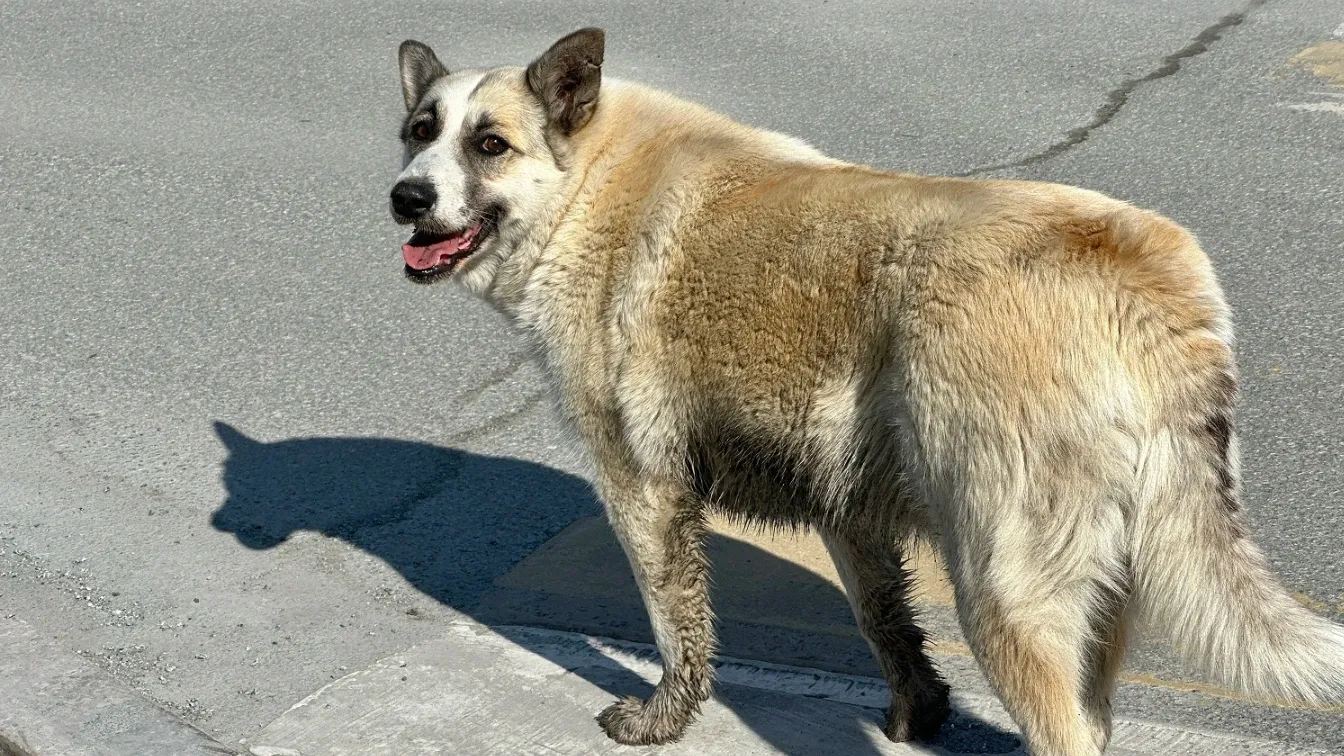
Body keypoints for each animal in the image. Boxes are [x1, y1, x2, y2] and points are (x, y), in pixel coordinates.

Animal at [387, 29, 1344, 753]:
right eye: (419, 129)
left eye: (489, 144)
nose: (405, 197)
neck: (587, 180)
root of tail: (1144, 274)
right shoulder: (845, 506)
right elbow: (885, 623)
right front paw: (917, 713)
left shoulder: (641, 492)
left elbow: (675, 627)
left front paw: (664, 718)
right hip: (1099, 599)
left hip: (1005, 596)